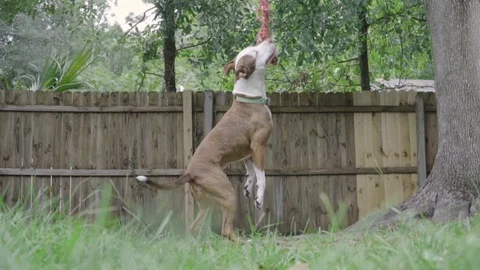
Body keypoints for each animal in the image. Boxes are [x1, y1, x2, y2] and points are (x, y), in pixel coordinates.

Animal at [135, 38, 278, 240]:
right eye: (255, 52)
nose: (269, 39)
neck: (250, 98)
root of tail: (190, 173)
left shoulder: (248, 151)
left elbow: (250, 172)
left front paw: (248, 188)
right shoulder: (258, 146)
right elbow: (262, 176)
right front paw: (259, 198)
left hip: (206, 203)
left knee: (194, 227)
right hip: (227, 193)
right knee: (226, 230)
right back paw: (245, 241)